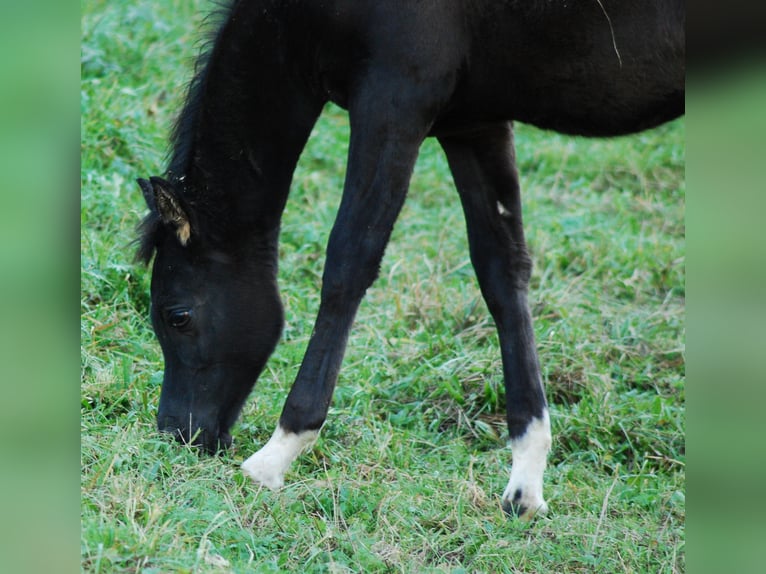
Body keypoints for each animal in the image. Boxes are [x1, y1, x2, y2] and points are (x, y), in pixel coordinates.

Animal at [136, 0, 684, 520]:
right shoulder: (473, 123)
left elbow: (349, 262)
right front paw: (525, 482)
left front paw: (277, 455)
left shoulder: (393, 105)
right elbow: (503, 275)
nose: (177, 433)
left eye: (177, 316)